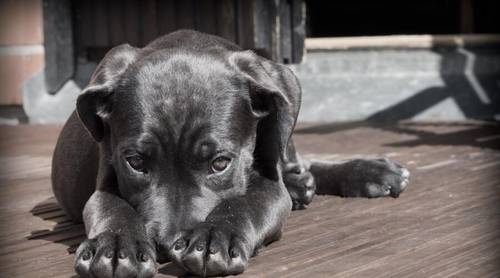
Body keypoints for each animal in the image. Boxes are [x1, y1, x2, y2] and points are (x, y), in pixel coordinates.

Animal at [51, 29, 410, 276]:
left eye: (220, 163)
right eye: (135, 163)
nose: (166, 245)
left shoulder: (268, 184)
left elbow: (245, 203)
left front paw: (214, 237)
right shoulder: (105, 178)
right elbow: (111, 207)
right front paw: (115, 245)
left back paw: (366, 172)